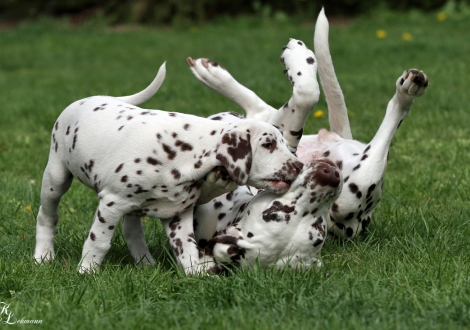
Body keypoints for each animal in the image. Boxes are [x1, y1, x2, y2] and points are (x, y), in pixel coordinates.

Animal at [34, 63, 304, 274]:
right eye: (268, 144)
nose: (300, 165)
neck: (185, 153)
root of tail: (90, 99)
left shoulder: (178, 213)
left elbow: (187, 248)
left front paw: (198, 273)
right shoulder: (111, 204)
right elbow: (98, 241)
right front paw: (86, 271)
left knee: (131, 230)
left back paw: (146, 263)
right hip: (56, 178)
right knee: (47, 216)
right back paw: (43, 255)